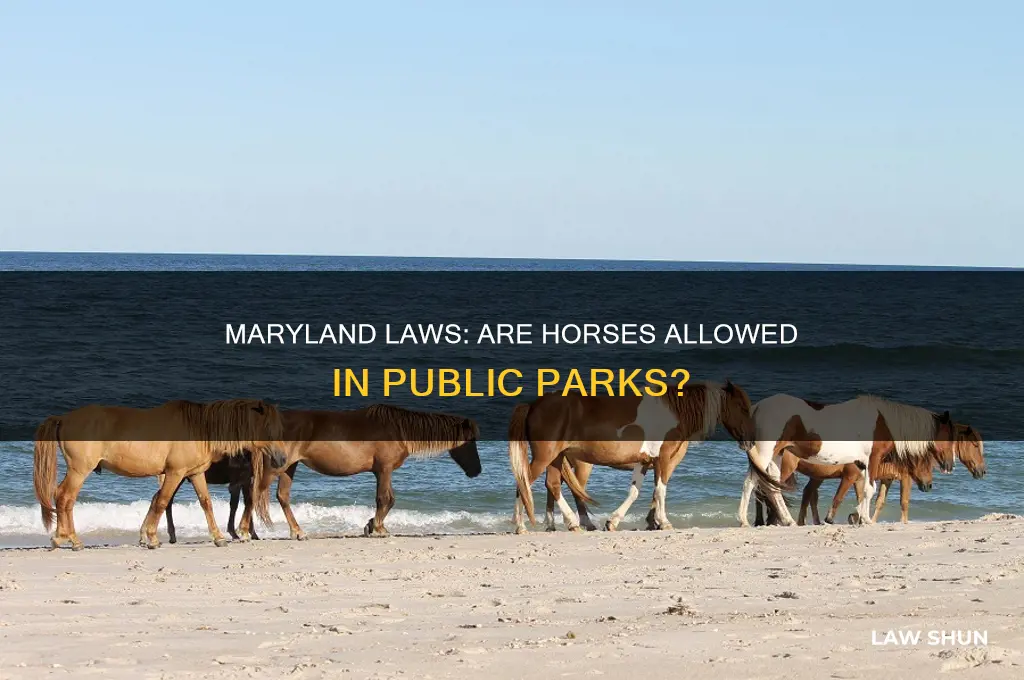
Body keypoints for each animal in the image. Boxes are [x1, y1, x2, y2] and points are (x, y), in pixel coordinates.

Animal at [33, 399, 286, 550]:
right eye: (269, 429)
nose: (282, 459)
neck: (198, 429)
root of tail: (63, 418)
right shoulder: (174, 473)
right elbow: (162, 502)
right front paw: (153, 538)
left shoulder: (195, 474)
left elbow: (206, 503)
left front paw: (218, 537)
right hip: (79, 470)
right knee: (65, 497)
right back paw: (70, 539)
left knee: (61, 497)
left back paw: (62, 537)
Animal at [236, 404, 481, 540]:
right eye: (469, 440)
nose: (476, 471)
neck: (397, 430)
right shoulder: (384, 469)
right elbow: (384, 499)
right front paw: (379, 528)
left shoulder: (382, 472)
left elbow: (389, 500)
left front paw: (371, 525)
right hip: (277, 466)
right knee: (254, 493)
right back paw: (245, 532)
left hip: (289, 467)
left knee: (282, 496)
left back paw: (296, 532)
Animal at [508, 380, 780, 534]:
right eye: (742, 407)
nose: (751, 440)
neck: (674, 412)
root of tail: (533, 405)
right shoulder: (665, 460)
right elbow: (660, 490)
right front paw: (663, 522)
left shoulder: (645, 463)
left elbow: (636, 492)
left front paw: (615, 522)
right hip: (547, 457)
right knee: (525, 483)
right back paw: (522, 525)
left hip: (555, 458)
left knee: (552, 485)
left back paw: (569, 523)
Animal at [739, 394, 959, 527]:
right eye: (948, 437)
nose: (949, 466)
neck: (882, 422)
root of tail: (758, 407)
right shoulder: (872, 460)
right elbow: (869, 490)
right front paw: (866, 519)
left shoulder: (860, 466)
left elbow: (863, 492)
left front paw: (858, 516)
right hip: (766, 453)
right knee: (752, 483)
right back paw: (745, 520)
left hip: (777, 456)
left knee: (772, 487)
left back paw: (787, 520)